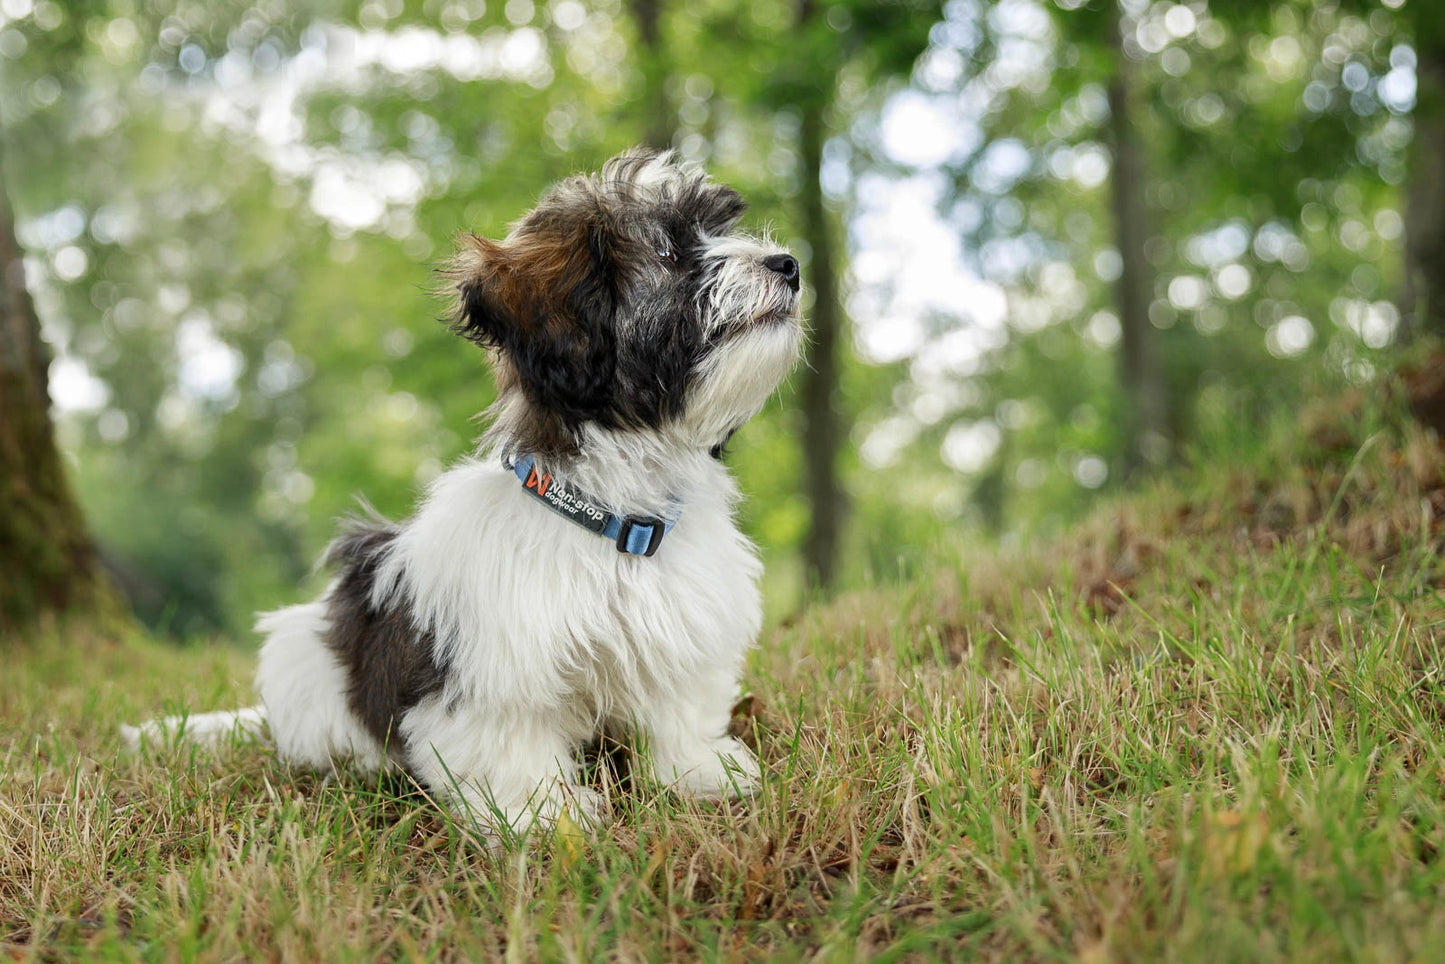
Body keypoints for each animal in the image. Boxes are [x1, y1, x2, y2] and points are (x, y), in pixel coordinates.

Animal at [122, 151, 803, 838]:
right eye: (666, 251)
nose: (788, 265)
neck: (615, 521)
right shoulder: (492, 669)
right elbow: (511, 742)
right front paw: (542, 812)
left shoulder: (684, 632)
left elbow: (680, 709)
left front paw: (699, 772)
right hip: (305, 665)